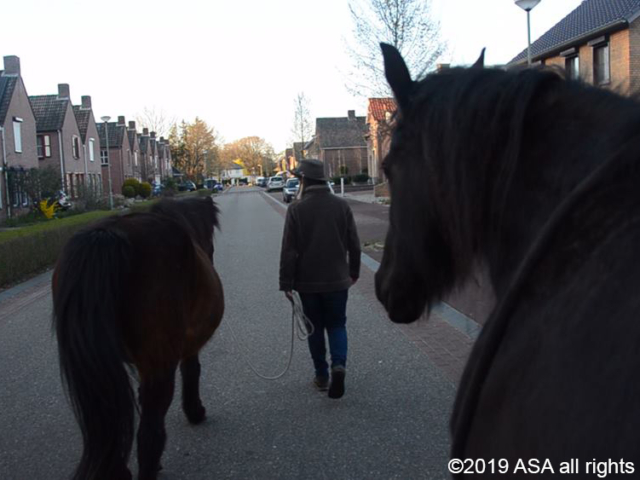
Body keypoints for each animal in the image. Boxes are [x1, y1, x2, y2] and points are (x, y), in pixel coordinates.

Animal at [51, 196, 224, 480]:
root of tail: (108, 235)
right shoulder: (185, 348)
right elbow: (192, 371)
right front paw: (195, 411)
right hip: (160, 365)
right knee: (149, 436)